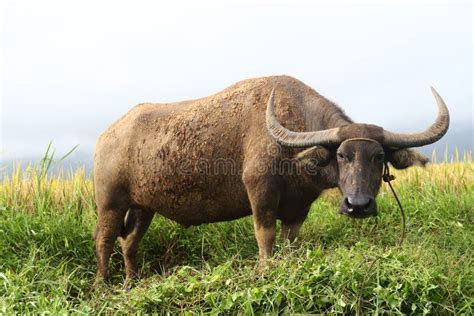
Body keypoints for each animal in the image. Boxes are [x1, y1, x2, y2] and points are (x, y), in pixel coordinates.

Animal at [92, 75, 448, 280]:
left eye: (379, 157)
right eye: (342, 155)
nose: (357, 205)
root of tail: (106, 136)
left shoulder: (299, 207)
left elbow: (290, 241)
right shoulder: (260, 192)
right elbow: (266, 237)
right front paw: (265, 270)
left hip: (143, 208)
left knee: (129, 243)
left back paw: (131, 282)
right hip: (110, 204)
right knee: (104, 241)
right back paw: (103, 285)